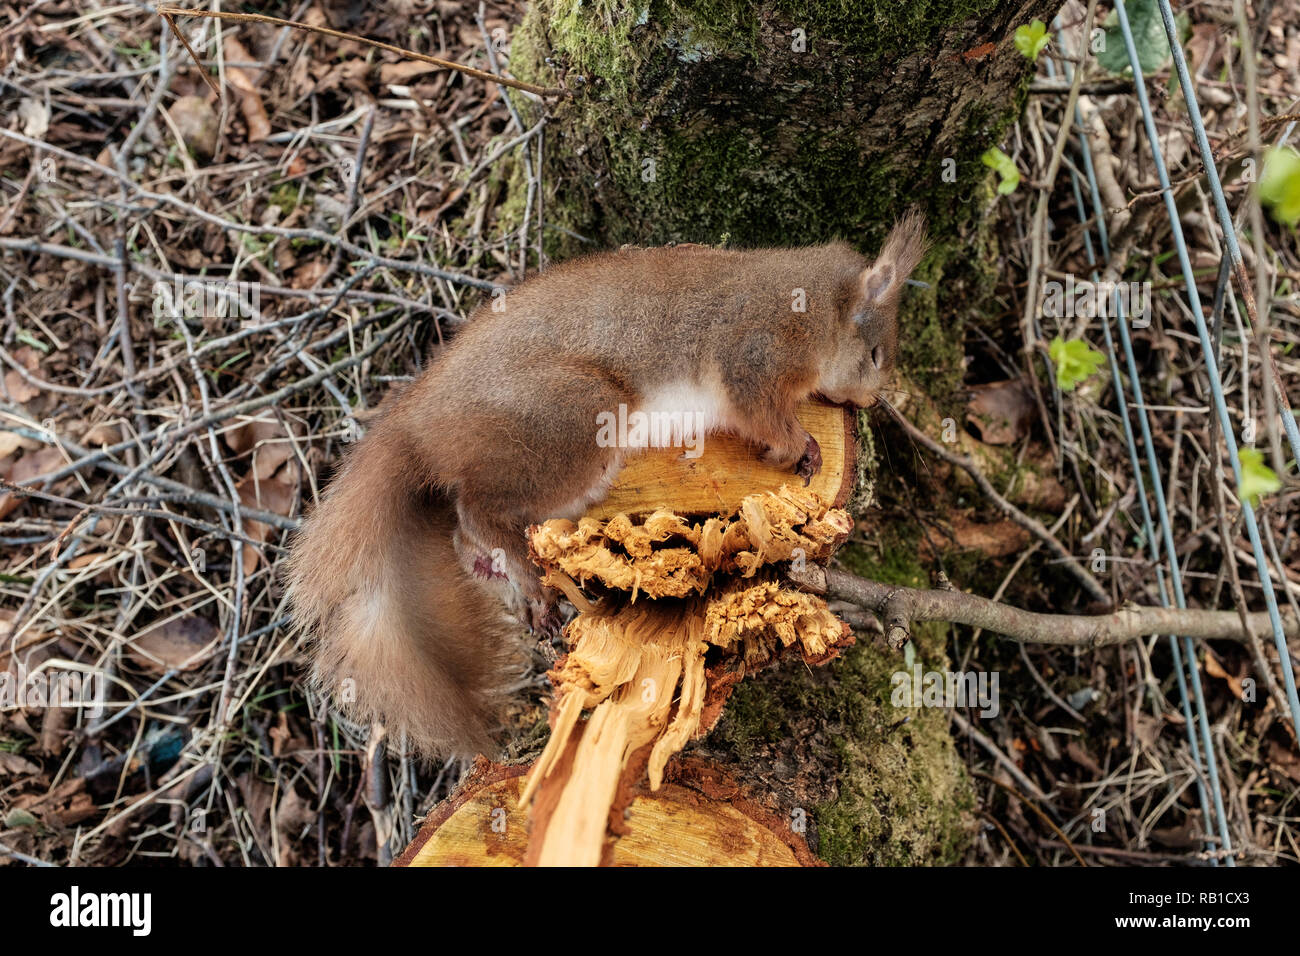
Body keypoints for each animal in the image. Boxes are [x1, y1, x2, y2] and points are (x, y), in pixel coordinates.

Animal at [289, 213, 930, 759]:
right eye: (876, 354)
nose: (871, 400)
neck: (817, 304)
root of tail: (419, 420)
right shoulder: (758, 351)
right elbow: (761, 412)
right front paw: (800, 446)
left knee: (464, 535)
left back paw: (505, 576)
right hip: (576, 421)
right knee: (476, 511)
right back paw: (526, 575)